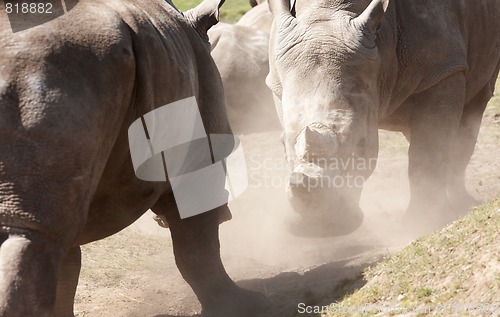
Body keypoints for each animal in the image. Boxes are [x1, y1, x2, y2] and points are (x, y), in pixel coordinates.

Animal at [0, 0, 268, 316]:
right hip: (46, 66)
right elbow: (197, 246)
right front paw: (243, 305)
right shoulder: (197, 156)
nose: (227, 214)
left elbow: (68, 268)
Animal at [268, 0, 500, 236]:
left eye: (361, 145)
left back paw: (463, 205)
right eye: (283, 146)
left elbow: (427, 152)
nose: (319, 229)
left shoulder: (443, 70)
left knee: (472, 111)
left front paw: (422, 223)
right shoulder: (277, 82)